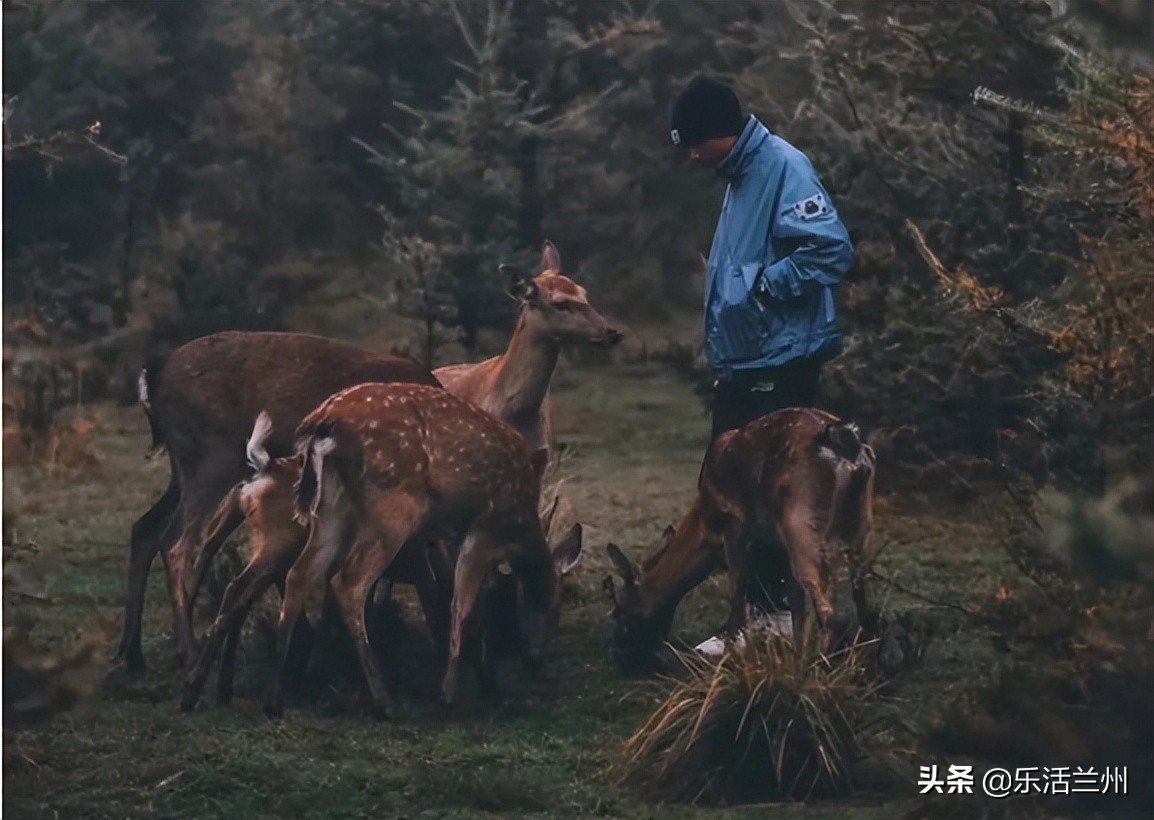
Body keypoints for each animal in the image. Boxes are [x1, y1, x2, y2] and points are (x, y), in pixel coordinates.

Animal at [119, 332, 438, 673]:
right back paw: (189, 653)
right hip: (214, 457)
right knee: (174, 542)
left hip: (183, 469)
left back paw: (132, 652)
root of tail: (153, 374)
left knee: (144, 528)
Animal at [182, 410, 586, 710]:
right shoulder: (469, 542)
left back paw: (219, 689)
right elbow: (462, 607)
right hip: (321, 532)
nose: (535, 660)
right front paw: (459, 689)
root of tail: (261, 469)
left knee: (244, 585)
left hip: (283, 530)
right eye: (552, 604)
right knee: (318, 586)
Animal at [260, 382, 567, 719]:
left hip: (331, 505)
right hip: (395, 504)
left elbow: (476, 596)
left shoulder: (454, 533)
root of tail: (321, 422)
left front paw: (484, 680)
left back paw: (276, 697)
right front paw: (449, 693)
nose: (536, 660)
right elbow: (462, 603)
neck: (520, 524)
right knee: (349, 582)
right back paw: (384, 700)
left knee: (299, 574)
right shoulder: (484, 527)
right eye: (555, 605)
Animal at [604, 408, 872, 678]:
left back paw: (823, 670)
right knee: (861, 598)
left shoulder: (734, 525)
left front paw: (736, 662)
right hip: (858, 522)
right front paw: (794, 660)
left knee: (830, 614)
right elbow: (795, 600)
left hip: (801, 521)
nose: (617, 655)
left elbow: (737, 597)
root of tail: (845, 444)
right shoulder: (776, 542)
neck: (706, 530)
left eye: (619, 612)